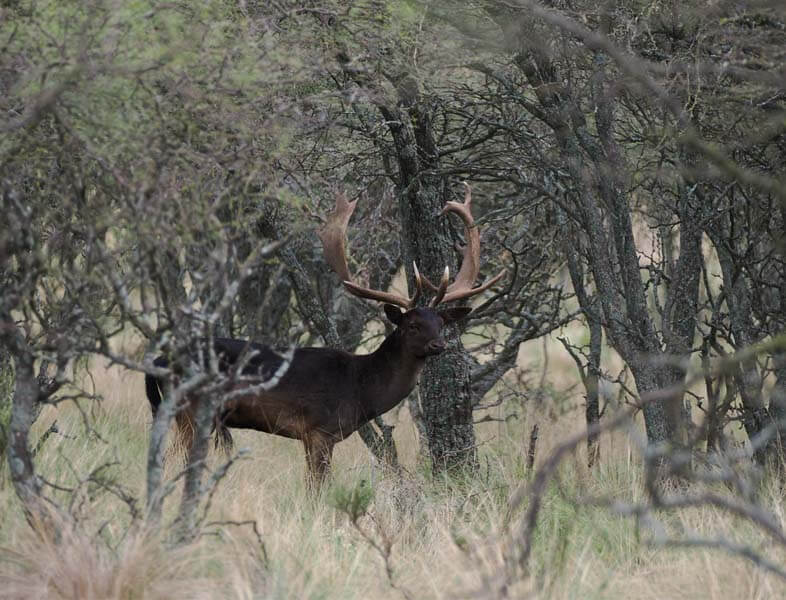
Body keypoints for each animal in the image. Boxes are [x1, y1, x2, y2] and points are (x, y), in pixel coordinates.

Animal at [145, 183, 503, 487]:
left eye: (440, 323)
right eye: (412, 325)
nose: (439, 344)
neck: (361, 389)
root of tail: (159, 361)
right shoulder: (319, 430)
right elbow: (317, 487)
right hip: (190, 409)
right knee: (173, 458)